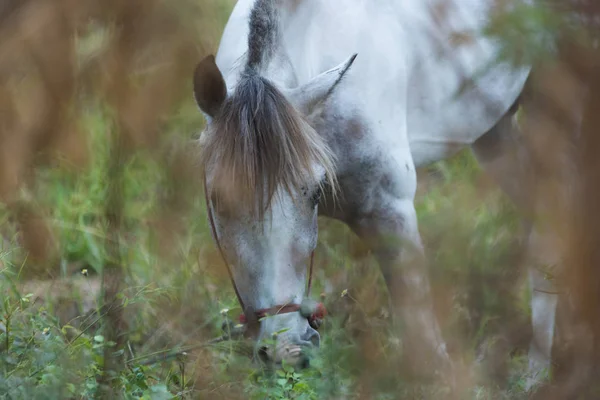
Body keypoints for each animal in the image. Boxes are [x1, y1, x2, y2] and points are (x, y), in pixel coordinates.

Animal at [192, 0, 552, 384]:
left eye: (315, 192)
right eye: (219, 198)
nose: (286, 348)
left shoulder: (391, 213)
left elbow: (425, 343)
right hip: (495, 132)